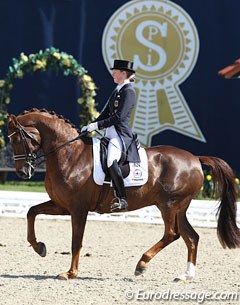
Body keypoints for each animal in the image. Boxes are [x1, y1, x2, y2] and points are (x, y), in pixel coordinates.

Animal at [7, 107, 240, 280]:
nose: (22, 172)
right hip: (179, 208)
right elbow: (31, 212)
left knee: (172, 234)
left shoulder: (78, 209)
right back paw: (185, 276)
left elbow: (76, 240)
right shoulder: (62, 205)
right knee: (191, 237)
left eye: (18, 139)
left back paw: (142, 264)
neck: (69, 155)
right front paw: (39, 247)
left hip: (168, 205)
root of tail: (195, 158)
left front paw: (70, 273)